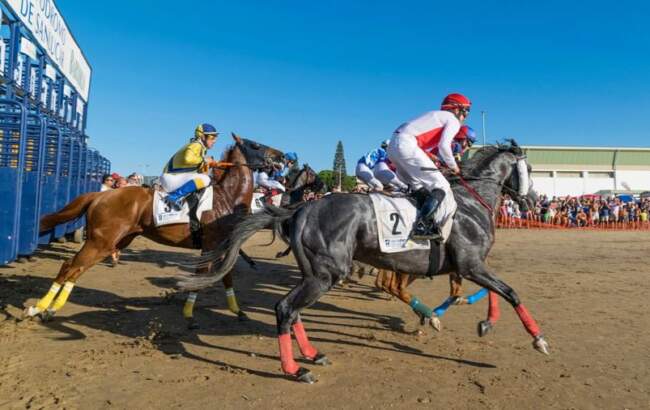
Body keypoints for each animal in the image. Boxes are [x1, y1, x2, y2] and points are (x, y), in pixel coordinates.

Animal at [24, 136, 282, 322]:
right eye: (256, 144)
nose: (281, 156)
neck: (227, 197)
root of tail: (100, 195)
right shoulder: (211, 246)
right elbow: (205, 275)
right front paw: (188, 312)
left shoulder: (223, 246)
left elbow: (226, 276)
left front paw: (237, 310)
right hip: (101, 241)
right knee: (71, 267)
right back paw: (38, 308)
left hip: (113, 242)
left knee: (74, 268)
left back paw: (50, 308)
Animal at [181, 142, 548, 384]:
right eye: (529, 169)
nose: (532, 201)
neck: (470, 203)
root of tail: (303, 209)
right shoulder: (471, 264)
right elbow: (510, 292)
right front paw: (538, 339)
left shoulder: (469, 266)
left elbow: (494, 293)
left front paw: (484, 323)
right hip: (326, 274)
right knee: (285, 309)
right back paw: (296, 369)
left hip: (316, 273)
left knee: (294, 310)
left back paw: (312, 353)